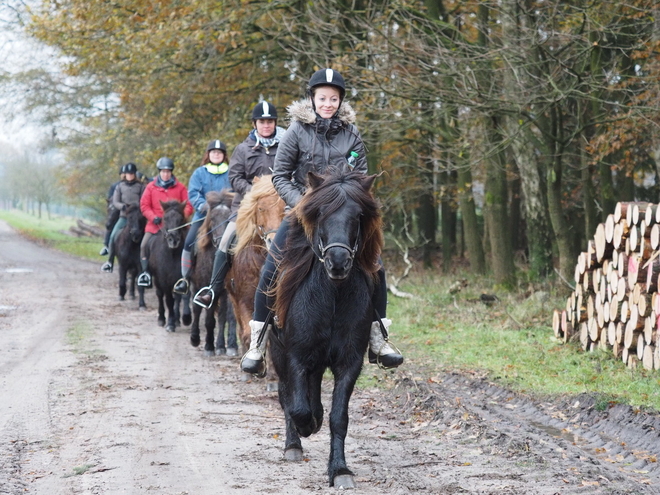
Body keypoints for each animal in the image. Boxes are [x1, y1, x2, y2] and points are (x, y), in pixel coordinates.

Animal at [148, 201, 189, 334]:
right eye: (165, 218)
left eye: (180, 219)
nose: (173, 239)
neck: (171, 255)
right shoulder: (164, 281)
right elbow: (169, 301)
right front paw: (170, 323)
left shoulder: (179, 279)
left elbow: (178, 298)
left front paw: (177, 320)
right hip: (157, 280)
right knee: (160, 295)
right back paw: (161, 319)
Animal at [189, 190, 238, 356]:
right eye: (213, 218)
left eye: (229, 218)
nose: (220, 241)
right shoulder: (207, 288)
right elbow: (209, 318)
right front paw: (209, 346)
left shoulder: (226, 292)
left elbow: (226, 317)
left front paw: (227, 346)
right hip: (195, 285)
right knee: (196, 309)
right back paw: (195, 338)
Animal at [226, 176, 284, 378]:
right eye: (260, 208)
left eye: (284, 207)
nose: (273, 242)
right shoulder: (244, 299)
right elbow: (246, 331)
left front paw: (273, 375)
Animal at [270, 170, 384, 488]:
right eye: (319, 213)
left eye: (358, 216)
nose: (338, 262)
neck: (332, 296)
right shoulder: (295, 356)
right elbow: (296, 406)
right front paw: (305, 428)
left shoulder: (349, 362)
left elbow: (338, 418)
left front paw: (340, 470)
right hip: (278, 352)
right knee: (286, 394)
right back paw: (294, 444)